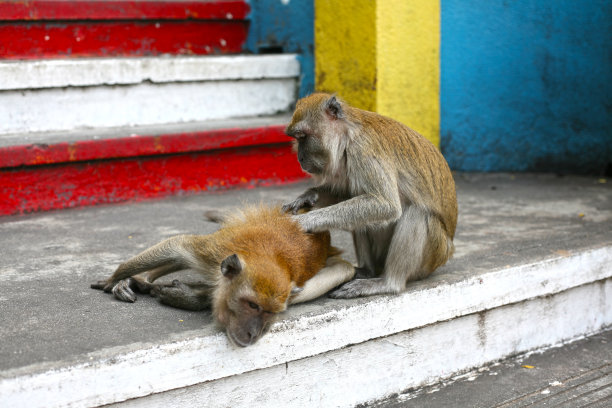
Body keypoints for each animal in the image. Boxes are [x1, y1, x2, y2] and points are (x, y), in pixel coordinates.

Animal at [93, 206, 356, 346]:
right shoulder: (213, 253)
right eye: (252, 305)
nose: (254, 333)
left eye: (270, 313)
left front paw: (189, 298)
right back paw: (139, 280)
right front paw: (116, 277)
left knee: (344, 269)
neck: (270, 257)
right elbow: (178, 246)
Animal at [282, 92, 454, 298]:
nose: (299, 157)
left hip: (432, 256)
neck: (348, 135)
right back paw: (367, 271)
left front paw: (307, 220)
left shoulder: (364, 151)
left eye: (302, 136)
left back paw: (388, 283)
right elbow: (348, 195)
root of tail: (447, 254)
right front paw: (308, 196)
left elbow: (385, 204)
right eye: (297, 138)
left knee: (418, 213)